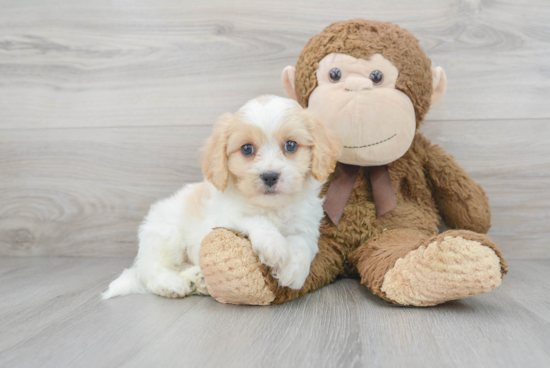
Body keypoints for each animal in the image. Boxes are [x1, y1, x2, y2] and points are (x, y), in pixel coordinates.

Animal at [101, 95, 338, 300]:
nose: (270, 176)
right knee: (150, 270)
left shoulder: (307, 225)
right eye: (247, 149)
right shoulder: (224, 218)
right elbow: (255, 219)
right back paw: (171, 283)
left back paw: (197, 280)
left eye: (291, 145)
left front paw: (294, 272)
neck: (271, 207)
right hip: (166, 234)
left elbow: (303, 244)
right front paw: (275, 247)